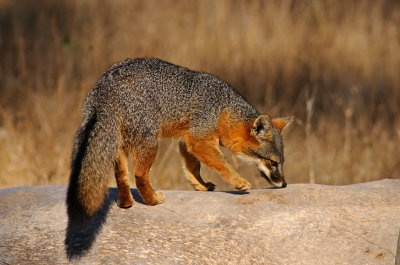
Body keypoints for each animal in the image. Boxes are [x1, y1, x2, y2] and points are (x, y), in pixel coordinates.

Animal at [67, 57, 292, 221]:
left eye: (281, 163)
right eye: (273, 163)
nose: (284, 185)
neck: (223, 108)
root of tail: (105, 82)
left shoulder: (187, 140)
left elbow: (192, 169)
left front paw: (201, 186)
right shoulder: (199, 138)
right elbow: (222, 163)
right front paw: (238, 181)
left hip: (119, 143)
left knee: (122, 176)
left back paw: (126, 203)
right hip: (150, 142)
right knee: (139, 175)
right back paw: (152, 200)